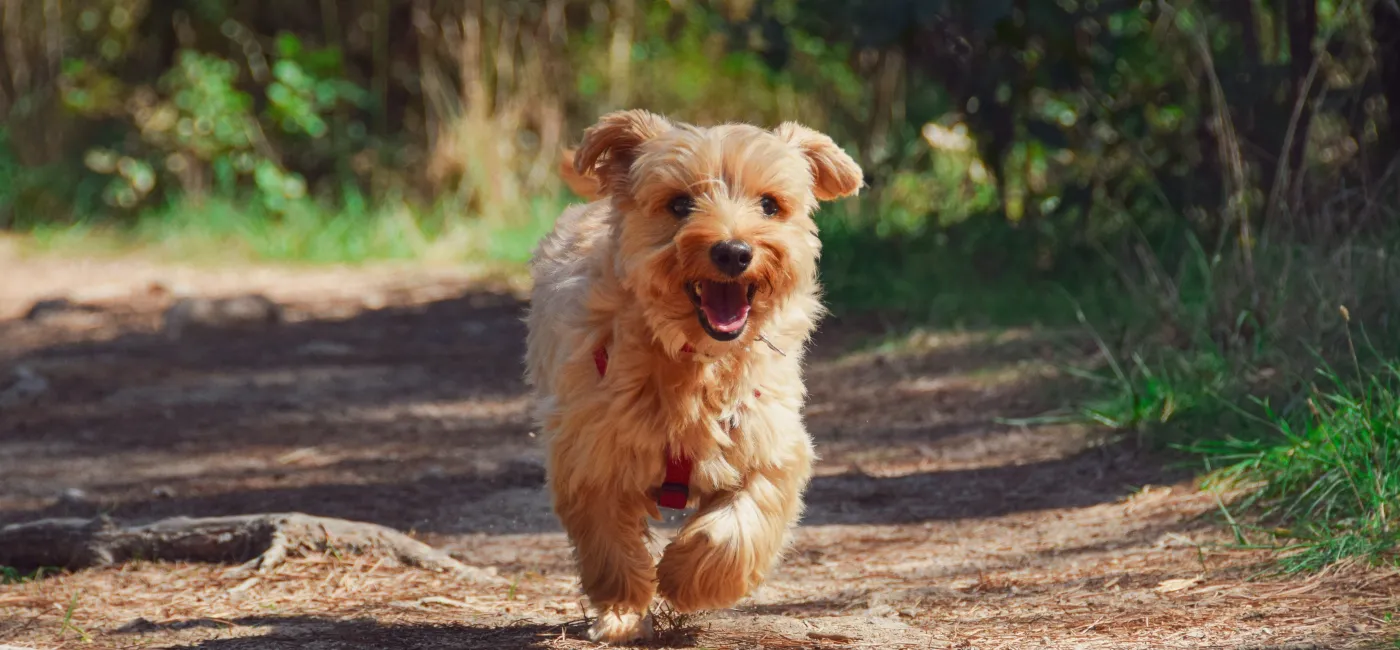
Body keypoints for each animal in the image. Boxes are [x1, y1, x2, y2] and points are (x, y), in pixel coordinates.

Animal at [523, 109, 856, 641]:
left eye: (770, 204)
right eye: (679, 204)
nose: (734, 251)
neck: (696, 361)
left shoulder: (770, 445)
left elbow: (736, 527)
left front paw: (686, 578)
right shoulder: (591, 454)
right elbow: (610, 544)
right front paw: (621, 612)